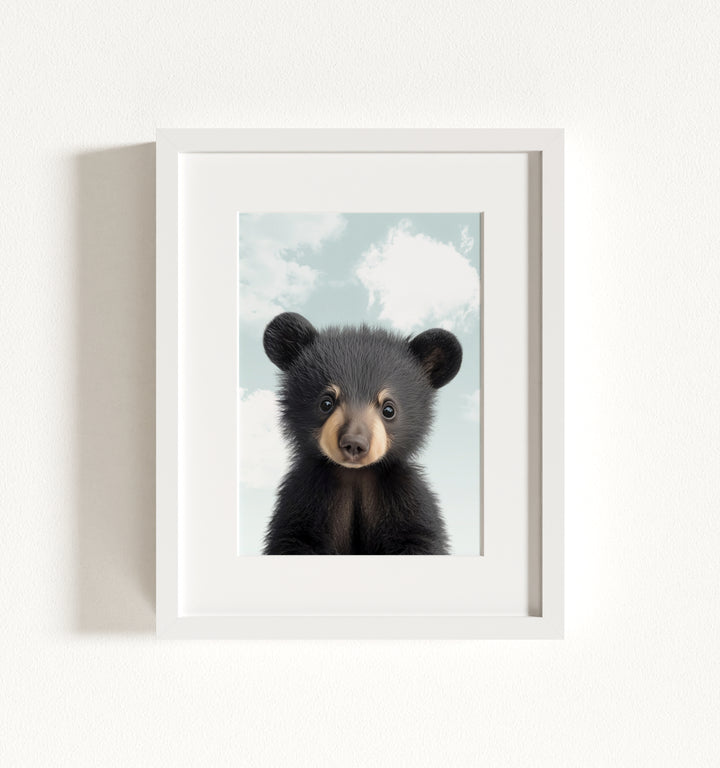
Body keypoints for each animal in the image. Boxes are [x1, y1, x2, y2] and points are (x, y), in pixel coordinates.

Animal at [262, 312, 462, 555]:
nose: (354, 444)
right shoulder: (305, 496)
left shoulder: (403, 495)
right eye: (326, 403)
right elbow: (294, 536)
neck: (355, 475)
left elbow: (419, 536)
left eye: (389, 409)